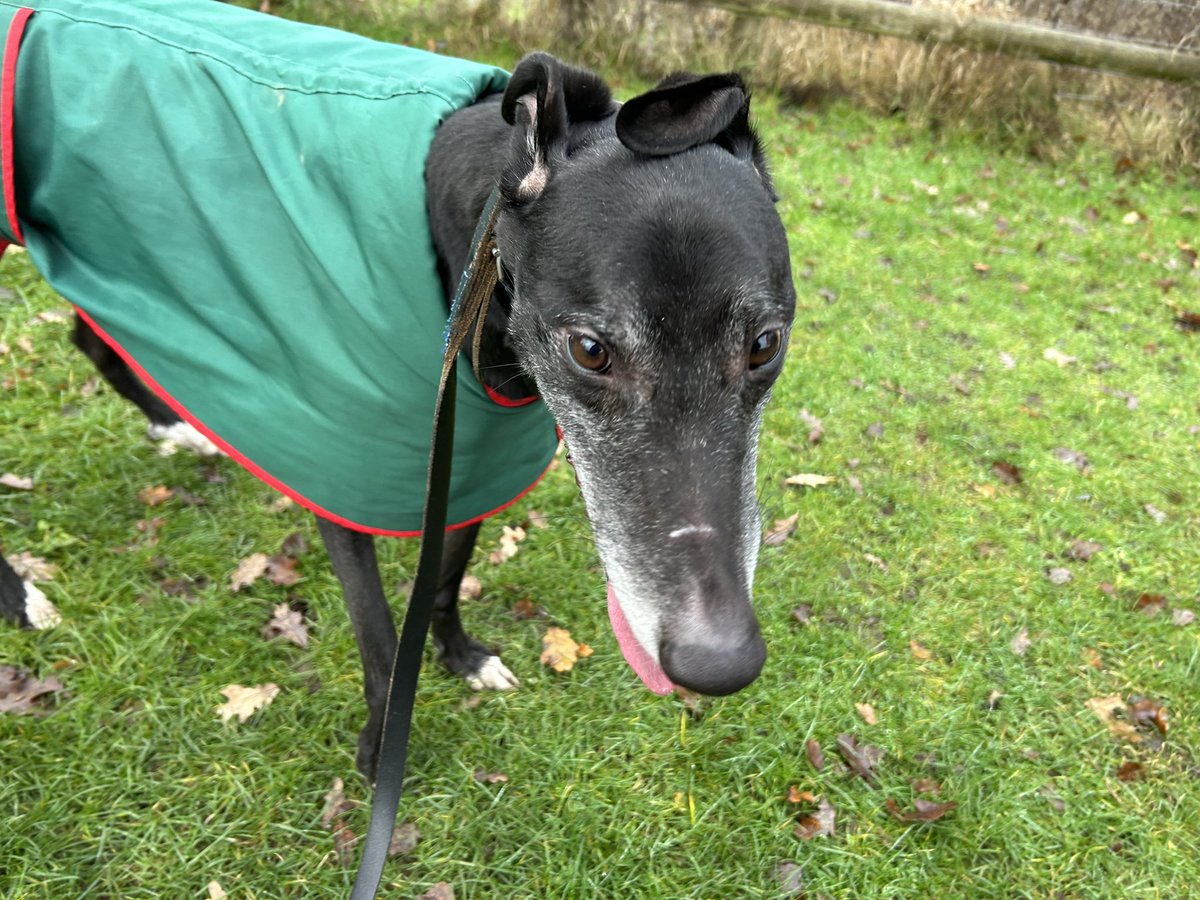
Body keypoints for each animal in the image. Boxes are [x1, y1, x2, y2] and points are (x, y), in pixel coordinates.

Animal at [2, 42, 796, 777]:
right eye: (592, 350)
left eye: (765, 345)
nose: (720, 662)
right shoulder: (342, 482)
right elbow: (381, 636)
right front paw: (384, 745)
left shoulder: (472, 456)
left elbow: (443, 578)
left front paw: (461, 656)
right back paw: (22, 597)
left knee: (92, 337)